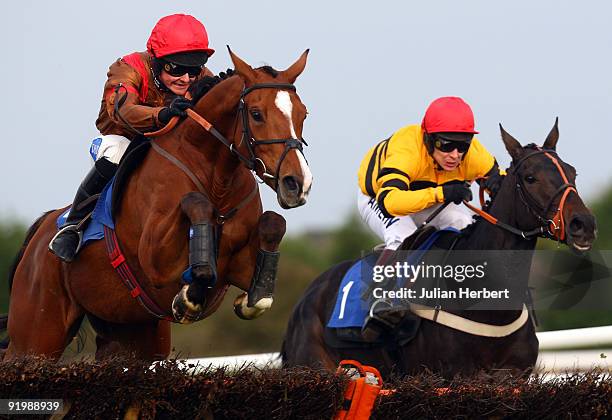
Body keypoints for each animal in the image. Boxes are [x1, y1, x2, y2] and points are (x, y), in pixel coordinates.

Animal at [1, 46, 310, 360]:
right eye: (257, 114)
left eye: (303, 114)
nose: (297, 183)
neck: (216, 181)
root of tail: (40, 232)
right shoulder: (156, 260)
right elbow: (197, 204)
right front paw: (190, 294)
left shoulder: (239, 266)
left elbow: (273, 225)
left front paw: (253, 295)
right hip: (35, 336)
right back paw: (67, 238)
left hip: (128, 334)